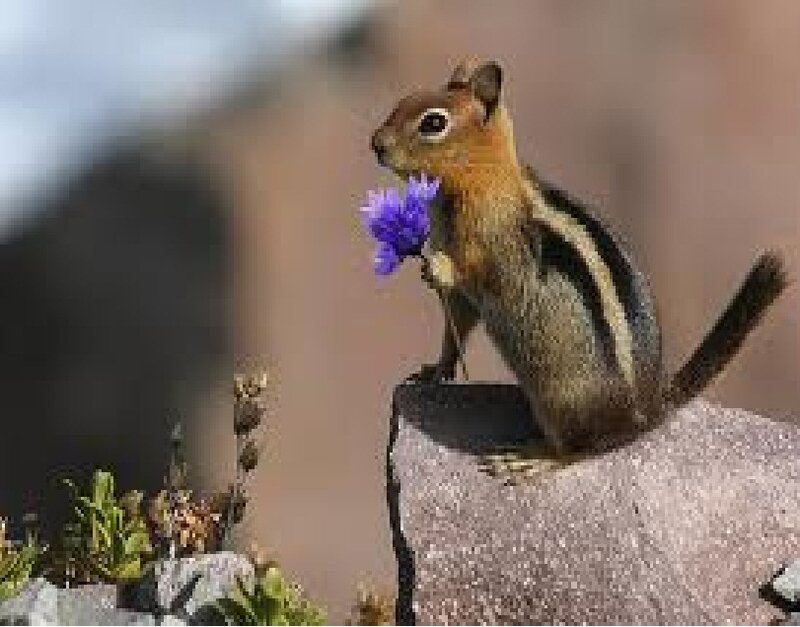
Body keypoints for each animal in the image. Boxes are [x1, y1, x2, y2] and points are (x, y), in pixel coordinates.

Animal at [370, 58, 788, 459]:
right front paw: (434, 370)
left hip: (560, 403)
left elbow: (489, 276)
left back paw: (534, 459)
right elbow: (455, 327)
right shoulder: (463, 299)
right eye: (403, 100)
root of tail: (645, 413)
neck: (482, 181)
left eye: (434, 122)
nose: (376, 144)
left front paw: (438, 266)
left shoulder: (499, 247)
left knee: (581, 450)